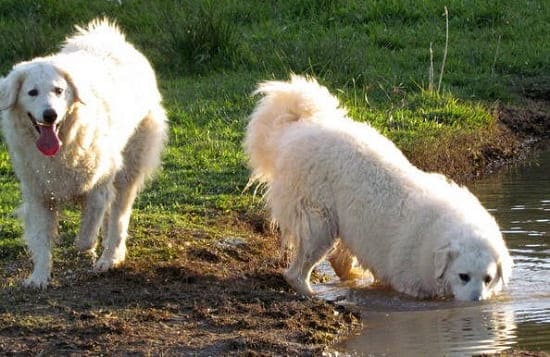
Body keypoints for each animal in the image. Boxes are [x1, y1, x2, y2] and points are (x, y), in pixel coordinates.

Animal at [0, 18, 168, 288]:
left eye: (59, 91)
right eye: (32, 92)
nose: (50, 115)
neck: (63, 143)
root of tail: (109, 37)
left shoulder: (99, 186)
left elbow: (87, 233)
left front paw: (87, 247)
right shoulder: (39, 194)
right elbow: (41, 240)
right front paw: (39, 277)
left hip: (128, 170)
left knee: (118, 219)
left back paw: (109, 259)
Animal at [246, 75, 512, 300]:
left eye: (487, 278)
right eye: (463, 276)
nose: (477, 302)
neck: (435, 237)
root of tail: (300, 126)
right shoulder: (409, 284)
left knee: (340, 261)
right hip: (318, 222)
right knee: (296, 271)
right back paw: (311, 294)